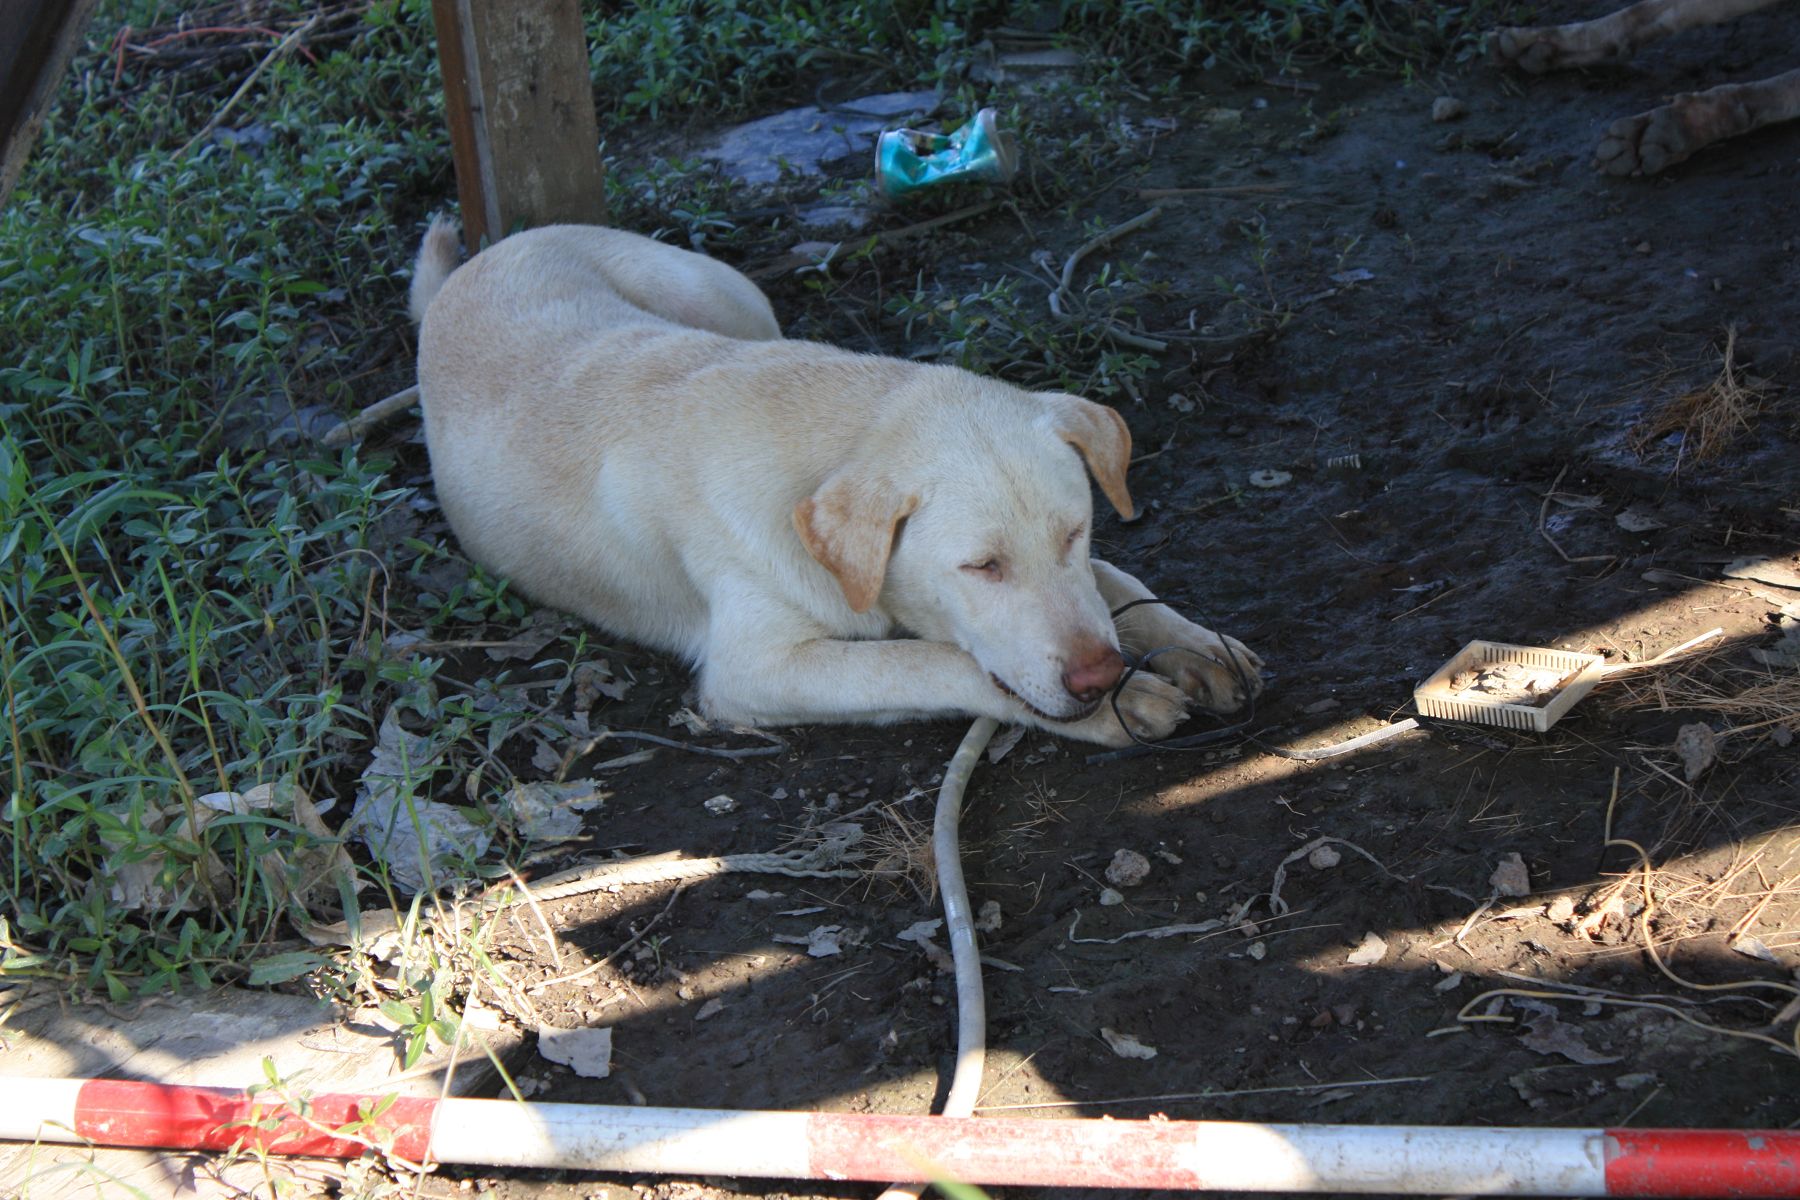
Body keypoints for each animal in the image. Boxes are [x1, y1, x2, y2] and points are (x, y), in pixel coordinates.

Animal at [408, 219, 1262, 748]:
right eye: (980, 567)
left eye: (1074, 531)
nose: (1099, 678)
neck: (837, 423)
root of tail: (472, 266)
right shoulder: (755, 672)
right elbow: (935, 661)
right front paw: (1123, 702)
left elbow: (1116, 582)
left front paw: (1193, 642)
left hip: (722, 297)